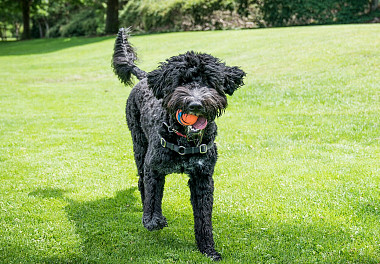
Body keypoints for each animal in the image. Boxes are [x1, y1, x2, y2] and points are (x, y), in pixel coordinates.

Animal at [111, 28, 245, 260]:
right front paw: (153, 220)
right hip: (139, 146)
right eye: (180, 81)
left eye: (209, 82)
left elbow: (204, 218)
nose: (195, 104)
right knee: (142, 183)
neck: (183, 139)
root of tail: (145, 78)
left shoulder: (203, 178)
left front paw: (208, 249)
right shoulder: (154, 168)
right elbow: (153, 196)